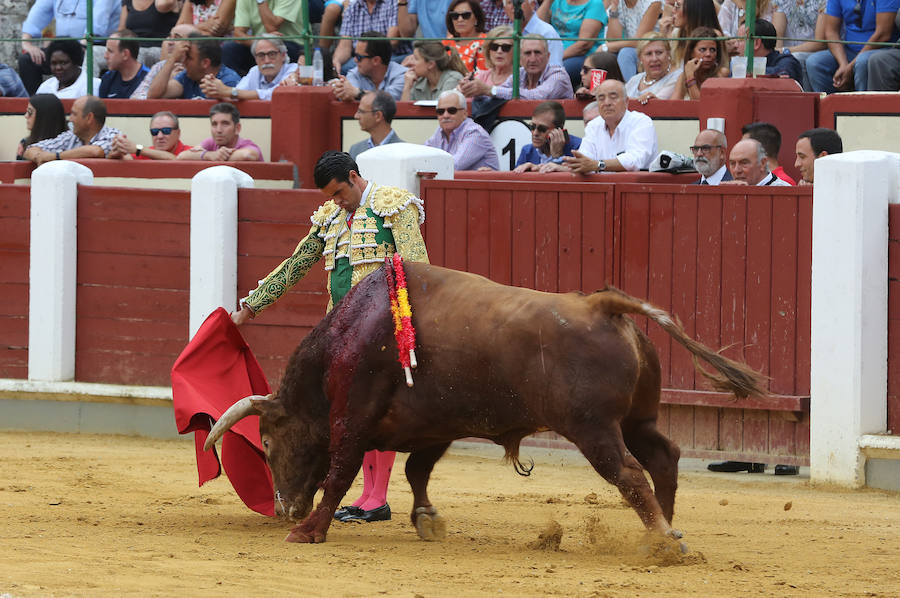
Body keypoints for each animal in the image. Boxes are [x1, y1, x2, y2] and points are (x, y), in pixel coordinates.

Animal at [206, 262, 768, 552]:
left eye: (268, 441)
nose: (284, 508)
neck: (353, 332)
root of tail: (601, 305)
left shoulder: (353, 418)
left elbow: (342, 471)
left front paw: (309, 531)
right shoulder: (433, 426)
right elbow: (416, 471)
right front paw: (428, 520)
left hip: (594, 429)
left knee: (629, 473)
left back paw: (663, 542)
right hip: (636, 419)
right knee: (663, 457)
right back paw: (665, 529)